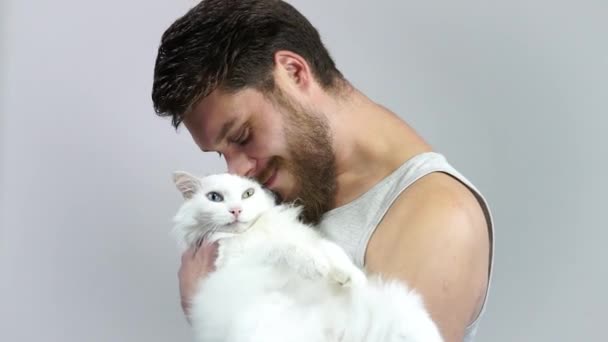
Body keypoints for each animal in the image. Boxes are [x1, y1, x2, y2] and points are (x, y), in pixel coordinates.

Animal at [170, 172, 442, 340]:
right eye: (214, 197)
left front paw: (352, 278)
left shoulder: (311, 237)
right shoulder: (236, 258)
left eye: (247, 194)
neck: (257, 230)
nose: (236, 210)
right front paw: (315, 266)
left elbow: (331, 249)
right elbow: (284, 248)